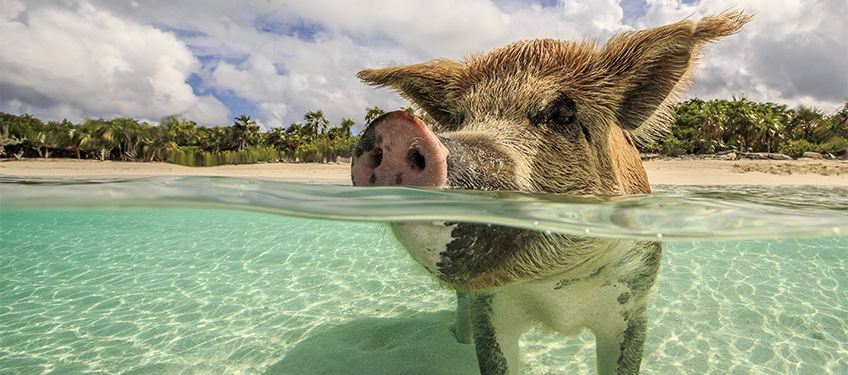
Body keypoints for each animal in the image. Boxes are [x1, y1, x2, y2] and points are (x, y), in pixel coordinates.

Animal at [350, 11, 748, 375]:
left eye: (562, 114)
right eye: (460, 120)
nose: (397, 126)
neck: (557, 297)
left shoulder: (634, 301)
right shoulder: (490, 310)